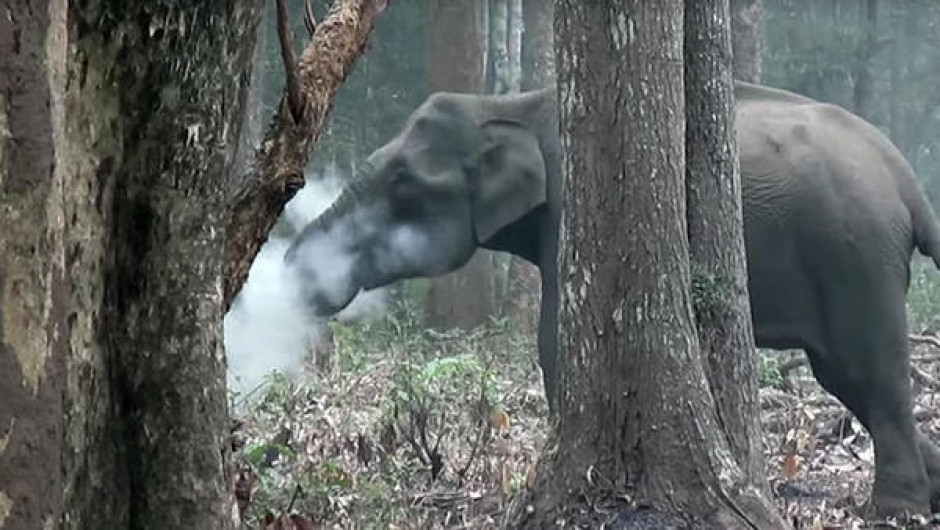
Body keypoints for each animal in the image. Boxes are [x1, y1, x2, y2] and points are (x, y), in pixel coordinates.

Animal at [283, 81, 940, 516]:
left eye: (402, 185)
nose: (288, 273)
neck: (508, 106)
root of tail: (907, 181)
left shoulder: (572, 209)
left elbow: (555, 338)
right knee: (844, 377)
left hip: (854, 254)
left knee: (866, 371)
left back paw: (894, 511)